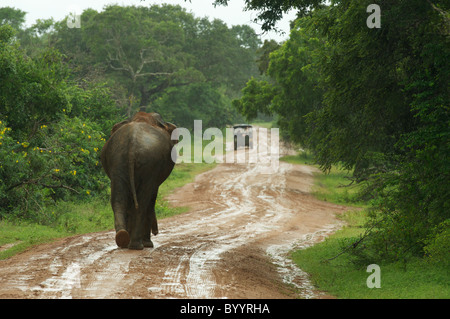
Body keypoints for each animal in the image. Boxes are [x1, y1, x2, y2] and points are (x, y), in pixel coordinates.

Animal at [100, 112, 178, 250]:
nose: (156, 232)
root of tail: (132, 143)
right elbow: (151, 198)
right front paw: (148, 244)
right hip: (148, 164)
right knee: (143, 202)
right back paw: (138, 245)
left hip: (118, 161)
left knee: (119, 199)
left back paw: (123, 239)